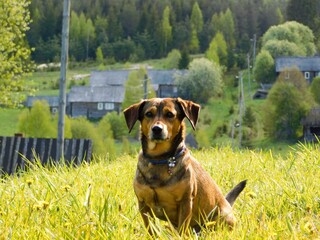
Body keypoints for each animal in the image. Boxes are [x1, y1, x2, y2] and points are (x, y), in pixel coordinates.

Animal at [124, 97, 246, 234]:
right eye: (149, 114)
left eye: (170, 114)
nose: (157, 129)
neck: (160, 158)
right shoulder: (143, 204)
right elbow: (151, 229)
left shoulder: (185, 201)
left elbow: (182, 229)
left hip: (221, 216)